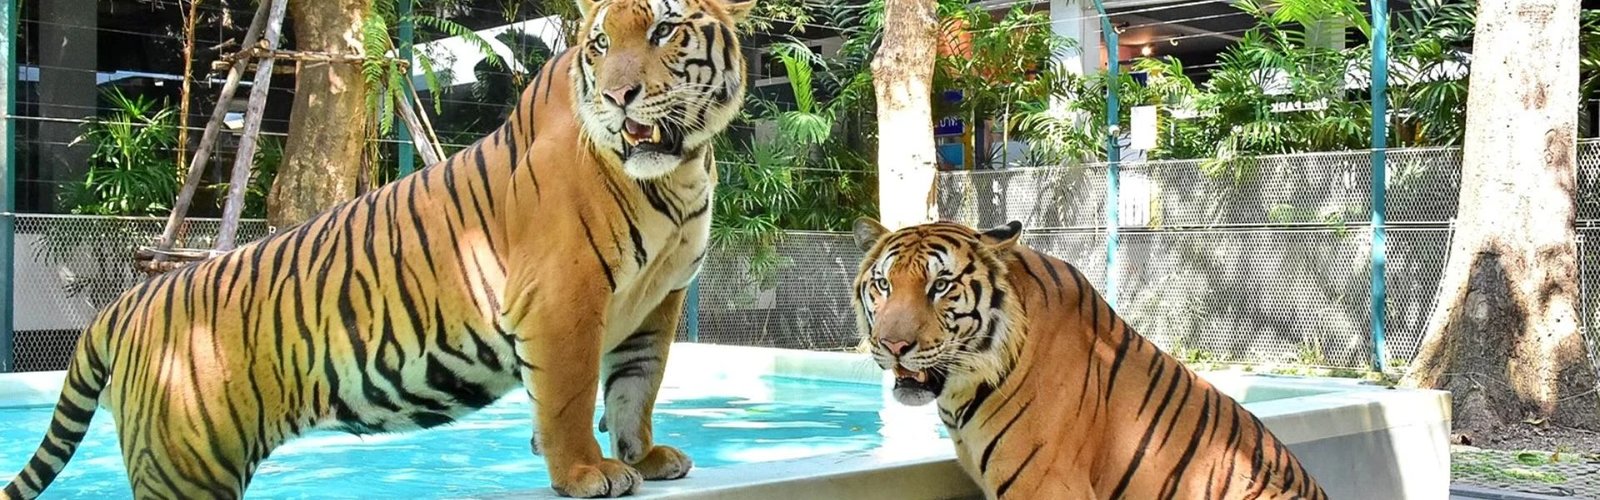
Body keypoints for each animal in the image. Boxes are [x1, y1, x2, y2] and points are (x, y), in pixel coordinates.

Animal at [1, 0, 753, 498]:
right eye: (597, 45)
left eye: (663, 30)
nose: (620, 95)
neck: (681, 171)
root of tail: (127, 304)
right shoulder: (563, 299)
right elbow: (570, 396)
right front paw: (585, 472)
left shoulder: (657, 301)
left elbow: (636, 387)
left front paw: (644, 455)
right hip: (185, 467)